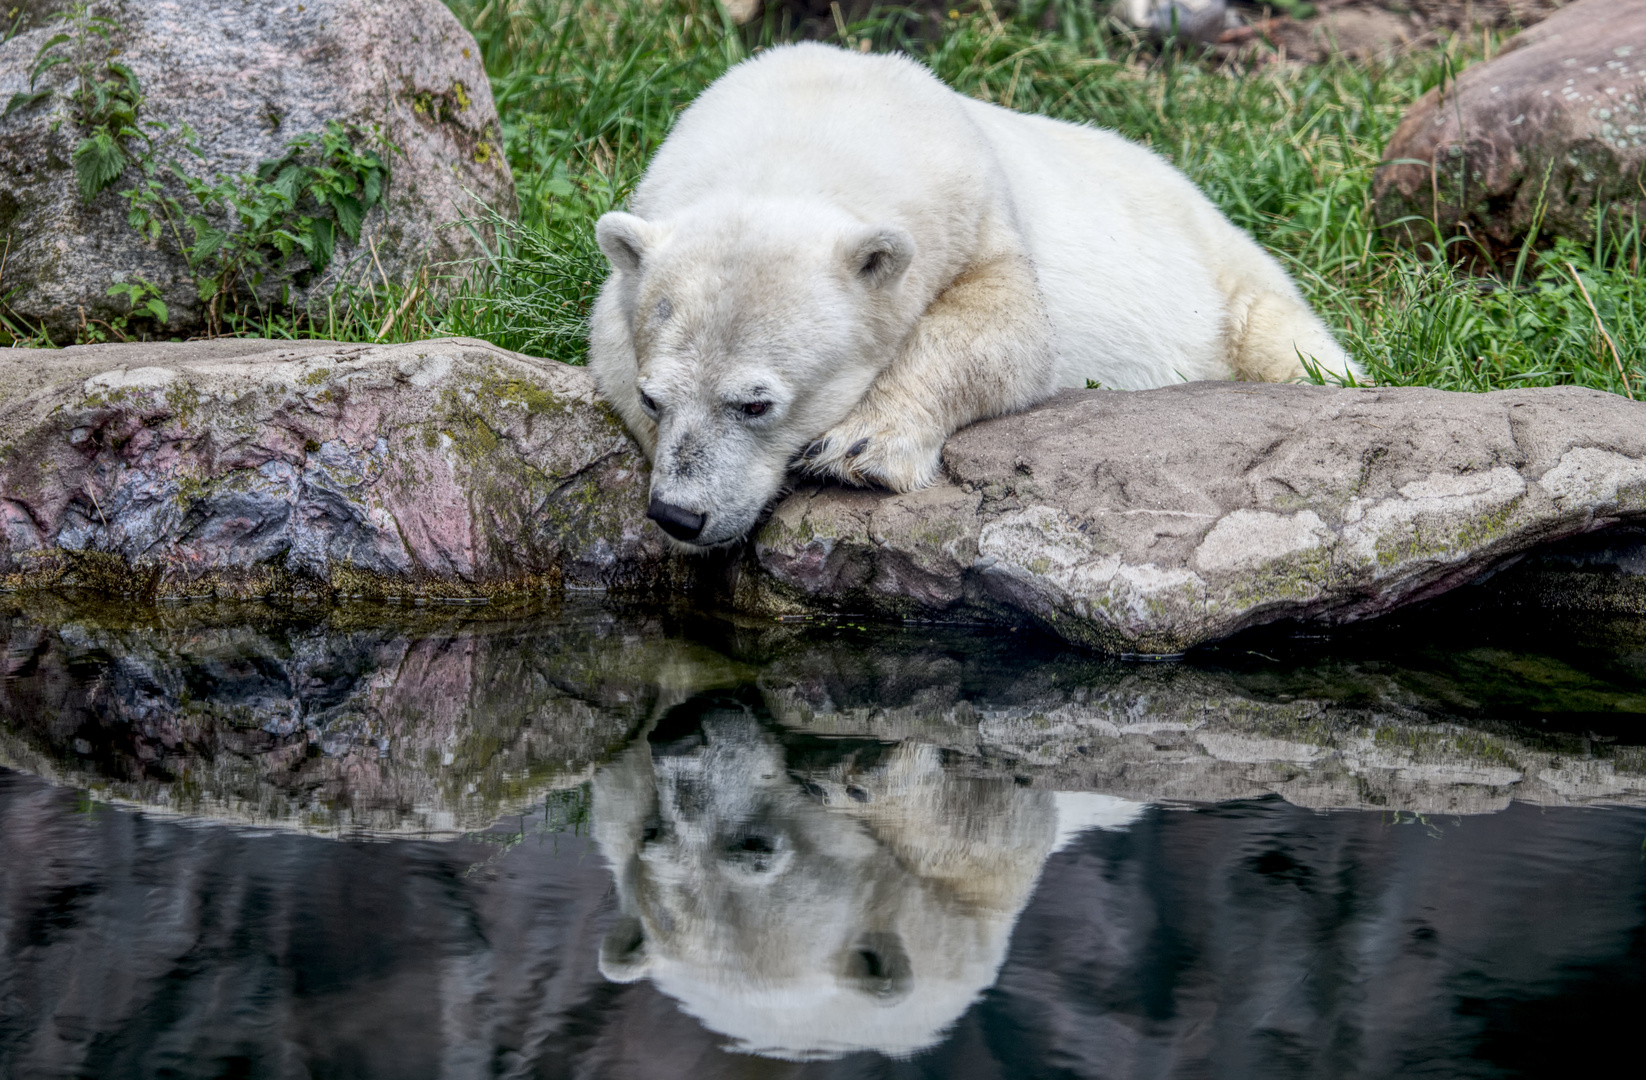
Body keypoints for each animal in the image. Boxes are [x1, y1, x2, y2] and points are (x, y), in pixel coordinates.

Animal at [592, 42, 1362, 549]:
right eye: (654, 399)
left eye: (756, 403)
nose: (678, 516)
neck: (810, 125)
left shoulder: (977, 203)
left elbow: (1008, 327)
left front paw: (856, 447)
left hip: (1221, 270)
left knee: (1285, 338)